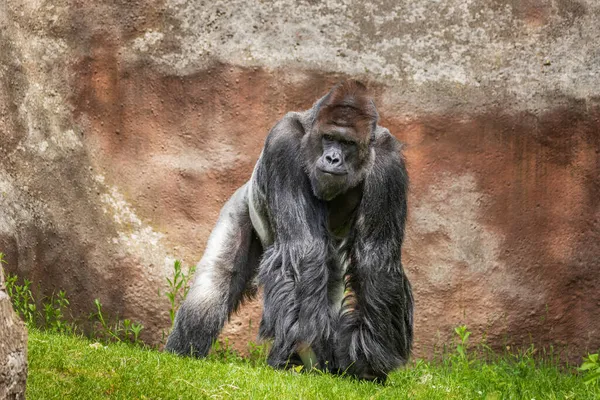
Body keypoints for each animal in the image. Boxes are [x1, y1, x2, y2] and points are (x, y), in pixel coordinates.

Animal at [166, 80, 414, 382]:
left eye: (347, 143)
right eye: (329, 138)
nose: (332, 158)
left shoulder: (389, 164)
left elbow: (375, 259)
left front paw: (367, 360)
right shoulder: (284, 142)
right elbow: (303, 249)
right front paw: (302, 347)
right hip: (243, 203)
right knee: (215, 281)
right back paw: (183, 351)